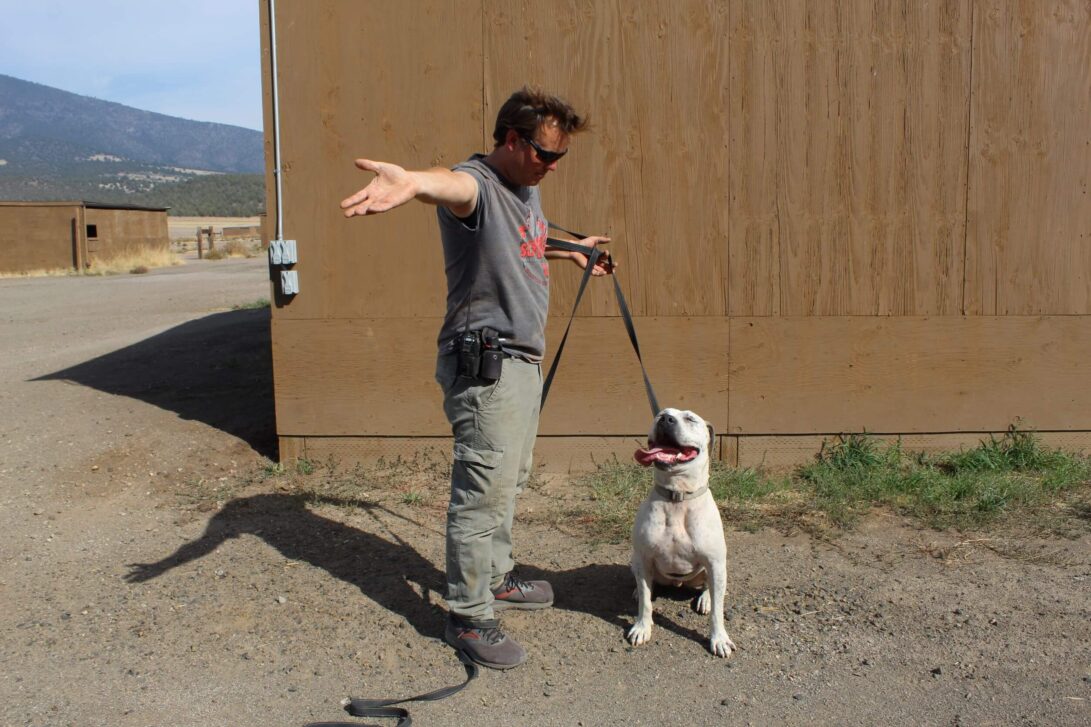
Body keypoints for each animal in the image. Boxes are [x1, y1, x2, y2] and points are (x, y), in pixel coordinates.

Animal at [627, 408, 735, 657]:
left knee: (710, 588)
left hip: (716, 569)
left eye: (690, 419)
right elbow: (645, 602)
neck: (678, 496)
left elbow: (718, 611)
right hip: (635, 561)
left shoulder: (715, 562)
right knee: (644, 583)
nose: (666, 419)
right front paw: (642, 627)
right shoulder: (643, 557)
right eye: (659, 415)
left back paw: (705, 599)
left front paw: (719, 639)